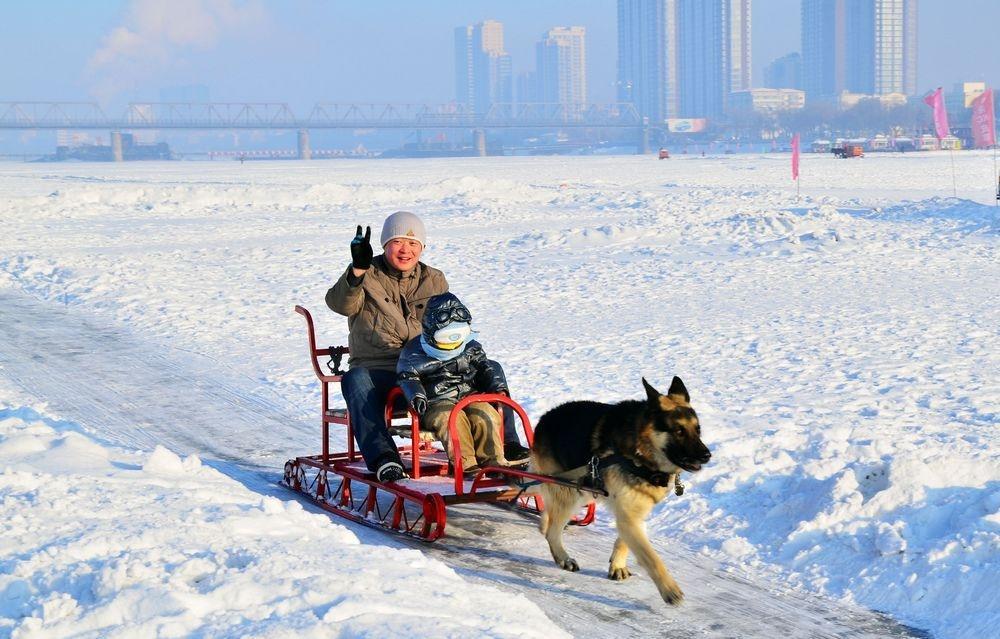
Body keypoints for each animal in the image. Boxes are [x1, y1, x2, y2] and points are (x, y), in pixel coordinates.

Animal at [532, 378, 712, 608]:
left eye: (698, 429)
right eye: (679, 431)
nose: (707, 455)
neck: (640, 453)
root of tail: (545, 418)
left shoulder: (633, 512)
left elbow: (625, 541)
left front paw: (617, 565)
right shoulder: (628, 514)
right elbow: (651, 557)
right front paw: (669, 588)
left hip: (583, 490)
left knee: (548, 515)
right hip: (570, 494)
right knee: (552, 532)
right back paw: (563, 557)